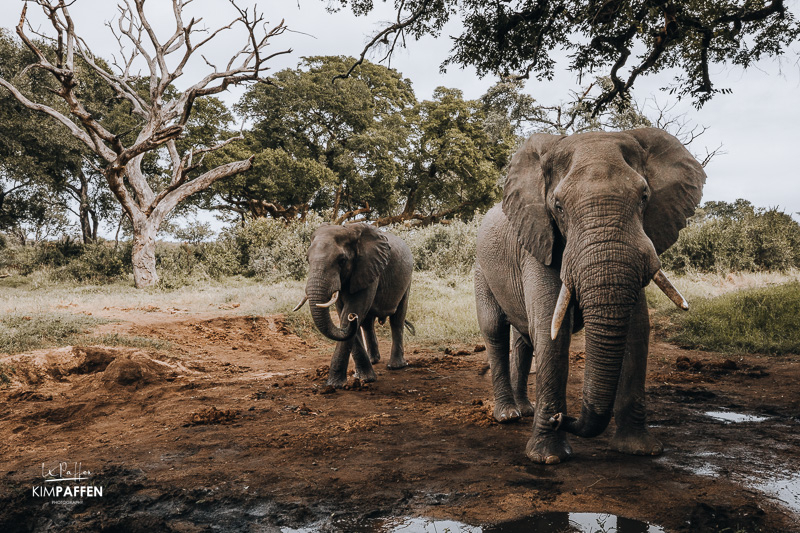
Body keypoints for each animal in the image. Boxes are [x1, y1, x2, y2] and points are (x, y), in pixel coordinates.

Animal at [292, 221, 412, 386]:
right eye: (307, 259)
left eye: (342, 260)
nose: (352, 317)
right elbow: (344, 313)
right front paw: (362, 378)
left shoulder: (368, 268)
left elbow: (353, 308)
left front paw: (336, 384)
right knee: (367, 323)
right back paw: (374, 360)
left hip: (407, 279)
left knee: (397, 319)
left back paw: (396, 366)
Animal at [478, 128, 704, 462]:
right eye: (558, 206)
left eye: (645, 197)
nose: (562, 418)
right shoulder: (540, 242)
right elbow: (551, 330)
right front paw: (549, 457)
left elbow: (637, 328)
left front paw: (641, 450)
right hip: (481, 268)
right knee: (494, 329)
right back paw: (508, 415)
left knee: (523, 338)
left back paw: (525, 410)